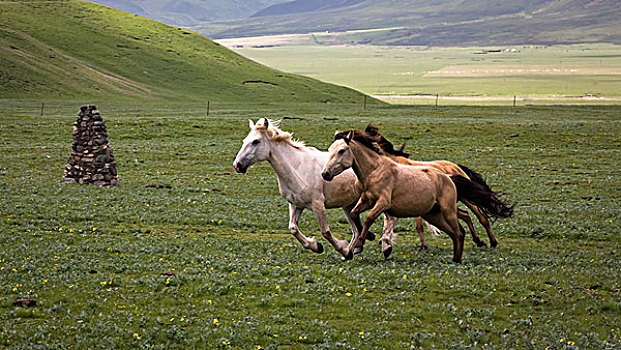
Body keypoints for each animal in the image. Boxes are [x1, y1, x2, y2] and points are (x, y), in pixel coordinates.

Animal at [230, 119, 370, 258]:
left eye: (255, 141)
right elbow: (293, 228)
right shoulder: (296, 204)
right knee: (356, 231)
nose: (237, 165)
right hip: (348, 205)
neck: (297, 169)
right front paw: (317, 246)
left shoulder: (318, 204)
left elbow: (325, 232)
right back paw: (353, 250)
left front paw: (340, 248)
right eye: (245, 140)